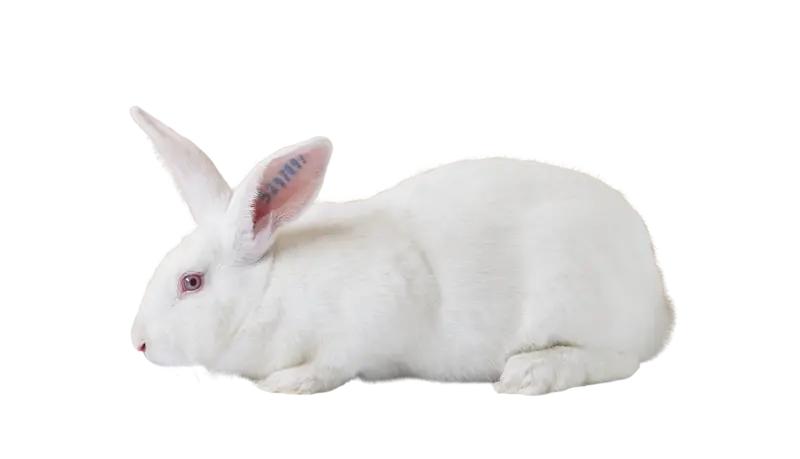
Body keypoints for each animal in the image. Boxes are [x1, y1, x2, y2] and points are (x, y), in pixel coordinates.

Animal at [127, 106, 674, 398]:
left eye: (191, 282)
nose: (140, 346)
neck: (270, 288)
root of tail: (656, 304)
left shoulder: (368, 319)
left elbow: (334, 362)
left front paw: (288, 383)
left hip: (577, 299)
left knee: (616, 359)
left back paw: (530, 374)